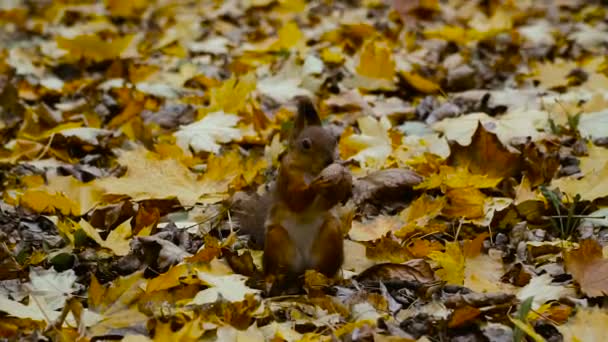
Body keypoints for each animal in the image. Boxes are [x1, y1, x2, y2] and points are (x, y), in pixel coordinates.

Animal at [262, 95, 352, 292]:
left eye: (334, 140)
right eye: (306, 144)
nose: (329, 161)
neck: (310, 172)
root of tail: (303, 268)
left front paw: (346, 182)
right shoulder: (287, 177)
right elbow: (296, 200)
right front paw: (317, 185)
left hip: (331, 236)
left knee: (323, 270)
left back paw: (327, 280)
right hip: (275, 241)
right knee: (276, 268)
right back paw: (272, 281)